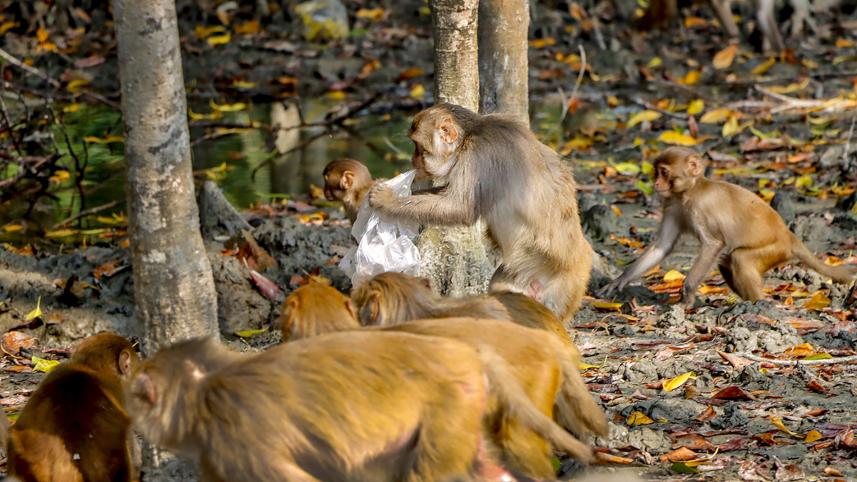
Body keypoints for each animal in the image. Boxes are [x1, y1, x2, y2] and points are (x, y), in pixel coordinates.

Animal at [367, 103, 593, 324]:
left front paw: (386, 200)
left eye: (419, 147)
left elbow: (460, 207)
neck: (472, 133)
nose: (413, 161)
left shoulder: (477, 156)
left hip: (563, 287)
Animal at [605, 147, 856, 307]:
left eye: (664, 173)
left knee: (739, 259)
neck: (690, 191)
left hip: (776, 249)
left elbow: (713, 244)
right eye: (656, 173)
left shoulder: (700, 207)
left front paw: (687, 294)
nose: (657, 184)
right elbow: (662, 246)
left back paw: (758, 306)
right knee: (727, 261)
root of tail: (789, 234)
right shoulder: (672, 205)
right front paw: (621, 280)